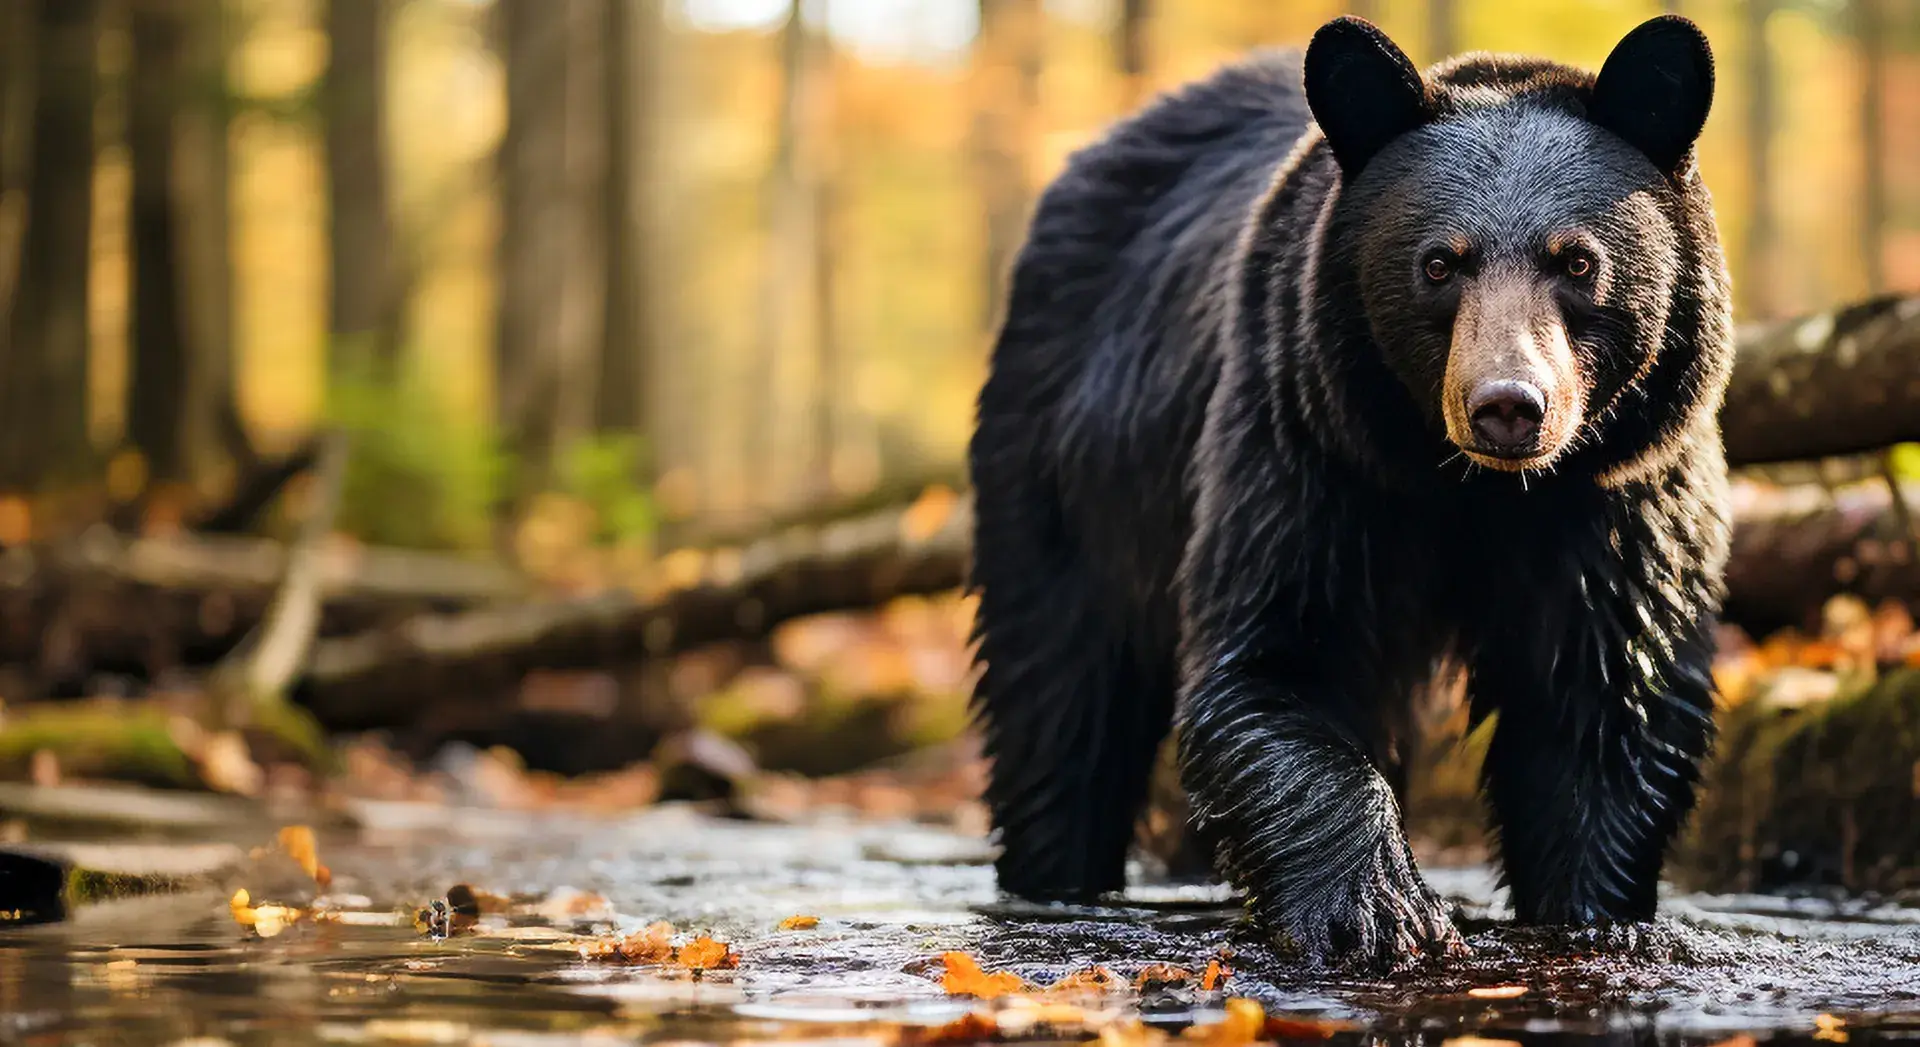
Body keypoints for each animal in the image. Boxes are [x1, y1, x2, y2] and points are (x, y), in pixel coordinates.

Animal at [966, 13, 1733, 971]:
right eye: (1439, 264)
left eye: (1578, 262)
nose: (1508, 406)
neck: (1467, 486)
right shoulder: (1310, 446)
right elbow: (1277, 658)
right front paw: (1376, 911)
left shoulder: (1618, 492)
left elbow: (1604, 695)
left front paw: (1595, 916)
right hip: (1064, 462)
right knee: (1056, 693)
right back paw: (1054, 880)